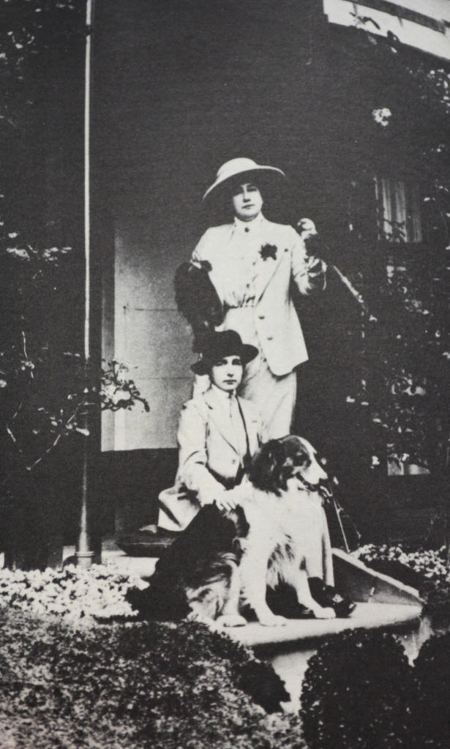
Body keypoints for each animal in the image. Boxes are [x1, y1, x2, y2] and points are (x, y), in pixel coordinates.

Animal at [128, 436, 354, 626]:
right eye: (300, 458)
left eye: (316, 458)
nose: (327, 480)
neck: (279, 494)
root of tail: (152, 592)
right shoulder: (255, 553)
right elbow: (259, 589)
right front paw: (268, 617)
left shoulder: (292, 548)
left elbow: (303, 586)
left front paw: (317, 609)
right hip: (226, 561)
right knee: (188, 610)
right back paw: (222, 620)